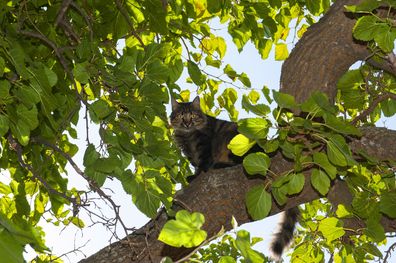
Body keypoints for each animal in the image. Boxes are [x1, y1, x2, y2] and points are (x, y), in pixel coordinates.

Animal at [169, 96, 296, 258]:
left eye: (192, 115)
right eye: (181, 116)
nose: (187, 123)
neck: (187, 136)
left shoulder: (204, 146)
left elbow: (202, 166)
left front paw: (196, 177)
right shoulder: (190, 154)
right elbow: (196, 165)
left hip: (234, 145)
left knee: (239, 163)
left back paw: (219, 165)